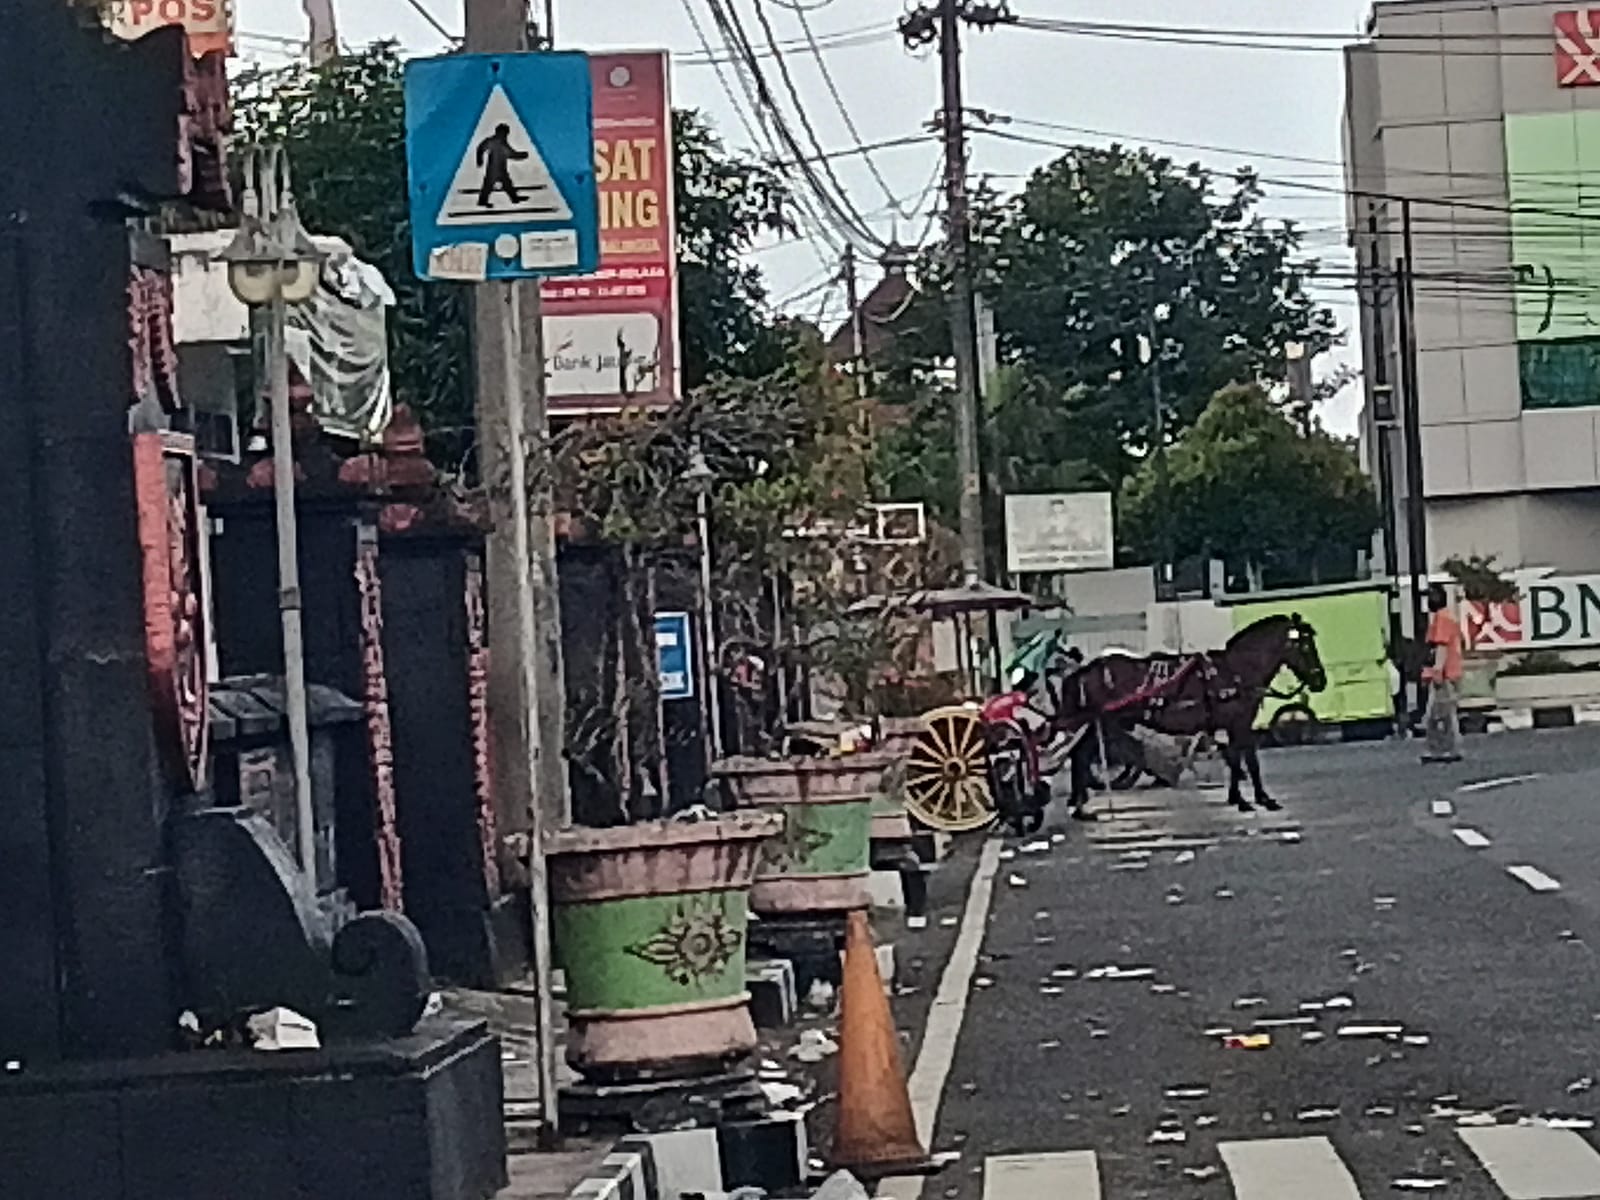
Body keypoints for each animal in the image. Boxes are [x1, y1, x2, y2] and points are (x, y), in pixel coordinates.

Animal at [1062, 614, 1324, 812]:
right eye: (1305, 645)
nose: (1320, 680)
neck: (1235, 671)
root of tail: (1085, 670)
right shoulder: (1239, 724)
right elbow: (1245, 759)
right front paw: (1253, 799)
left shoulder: (1235, 725)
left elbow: (1240, 759)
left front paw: (1247, 797)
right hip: (1100, 723)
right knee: (1082, 755)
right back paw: (1079, 803)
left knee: (1080, 755)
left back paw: (1079, 801)